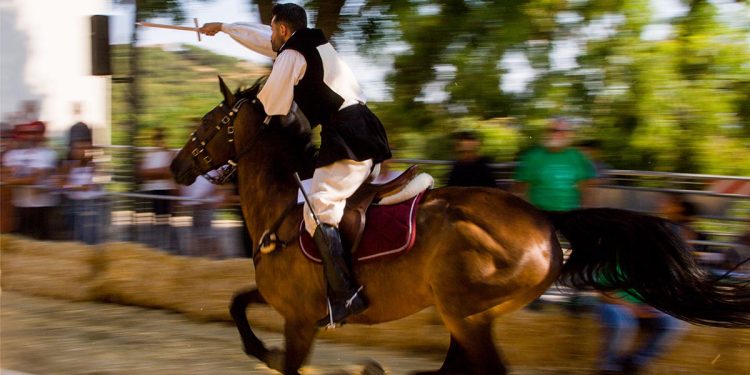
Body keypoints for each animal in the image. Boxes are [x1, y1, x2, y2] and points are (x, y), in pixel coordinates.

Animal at [172, 78, 750, 374]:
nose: (178, 167)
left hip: (464, 312)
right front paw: (259, 351)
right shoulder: (289, 307)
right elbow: (237, 305)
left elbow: (286, 359)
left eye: (210, 123)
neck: (282, 205)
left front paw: (270, 356)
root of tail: (542, 218)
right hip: (467, 314)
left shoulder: (300, 321)